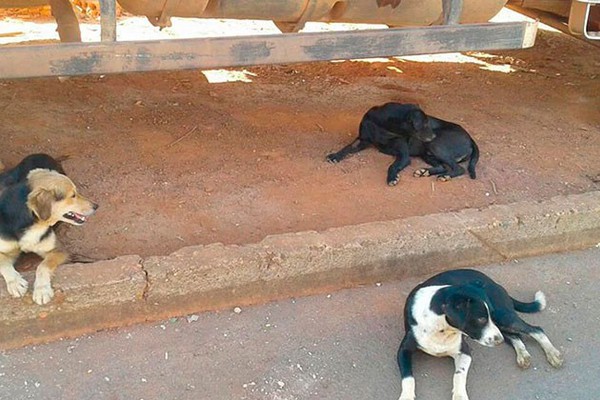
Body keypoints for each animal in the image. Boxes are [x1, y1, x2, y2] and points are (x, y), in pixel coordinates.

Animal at [326, 102, 480, 185]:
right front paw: (334, 156)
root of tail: (470, 138)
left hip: (435, 145)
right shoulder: (362, 140)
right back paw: (424, 172)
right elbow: (347, 147)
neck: (384, 127)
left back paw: (445, 176)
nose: (433, 135)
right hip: (427, 153)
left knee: (459, 169)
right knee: (442, 166)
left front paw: (392, 178)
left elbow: (392, 166)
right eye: (424, 124)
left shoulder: (404, 155)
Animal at [398, 268, 564, 400]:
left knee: (536, 329)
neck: (440, 328)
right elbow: (408, 378)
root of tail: (494, 283)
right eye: (481, 319)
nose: (498, 340)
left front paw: (459, 396)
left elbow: (459, 375)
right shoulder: (403, 351)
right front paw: (406, 396)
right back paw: (523, 354)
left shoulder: (465, 352)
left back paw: (552, 353)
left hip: (503, 317)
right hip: (501, 323)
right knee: (515, 336)